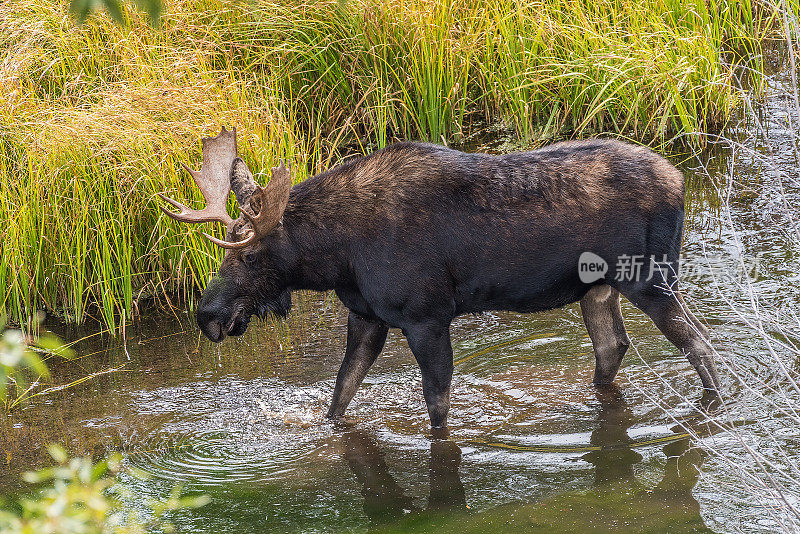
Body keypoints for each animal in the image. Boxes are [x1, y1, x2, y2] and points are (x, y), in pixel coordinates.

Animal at [158, 129, 720, 436]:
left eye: (250, 255)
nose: (208, 315)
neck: (336, 256)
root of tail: (680, 182)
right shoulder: (366, 315)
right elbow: (339, 395)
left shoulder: (426, 315)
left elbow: (436, 405)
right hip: (597, 289)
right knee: (612, 345)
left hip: (649, 277)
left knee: (700, 342)